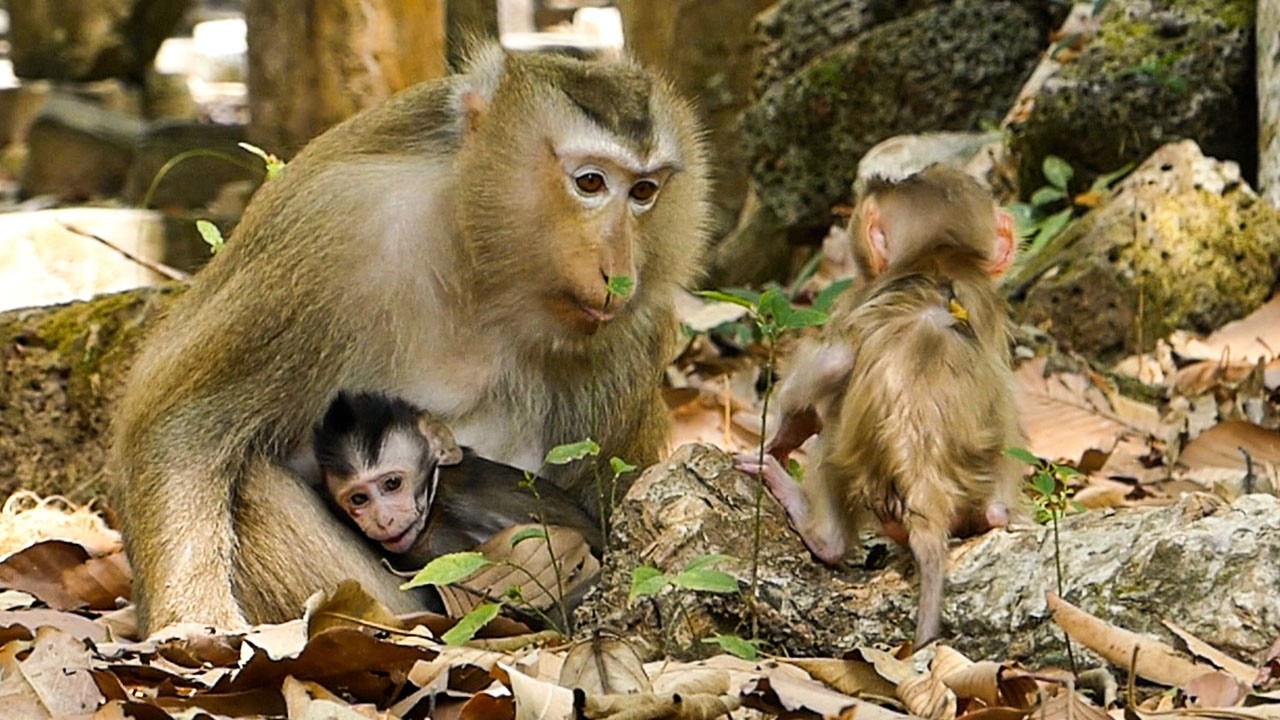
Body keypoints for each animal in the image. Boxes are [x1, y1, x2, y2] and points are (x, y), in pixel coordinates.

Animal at [740, 165, 1023, 645]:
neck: (938, 262)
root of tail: (927, 489)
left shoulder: (854, 301)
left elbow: (832, 368)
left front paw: (778, 441)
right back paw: (994, 515)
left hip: (859, 474)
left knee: (830, 450)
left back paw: (816, 528)